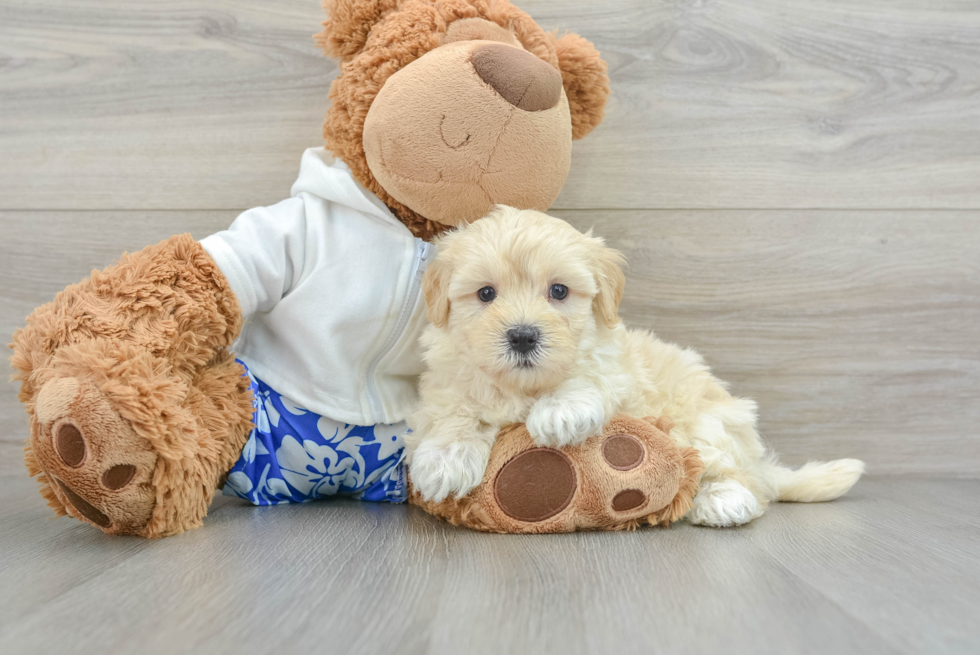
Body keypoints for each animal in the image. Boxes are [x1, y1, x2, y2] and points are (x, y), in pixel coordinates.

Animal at [406, 208, 864, 524]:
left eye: (559, 291)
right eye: (485, 294)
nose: (522, 336)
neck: (526, 386)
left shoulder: (618, 367)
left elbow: (589, 374)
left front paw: (560, 410)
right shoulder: (447, 380)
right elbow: (453, 412)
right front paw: (445, 460)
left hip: (705, 423)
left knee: (740, 475)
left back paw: (725, 500)